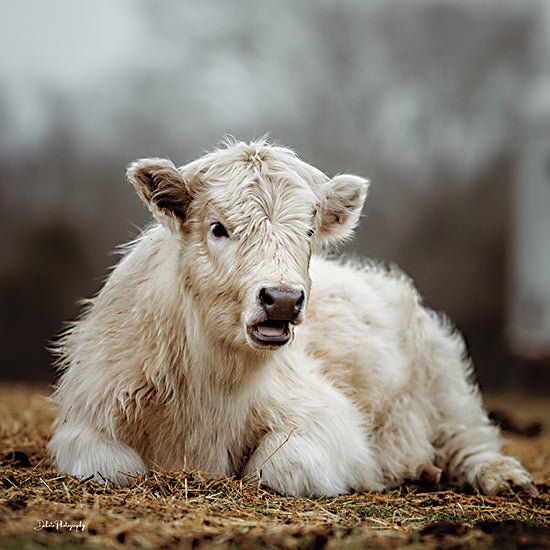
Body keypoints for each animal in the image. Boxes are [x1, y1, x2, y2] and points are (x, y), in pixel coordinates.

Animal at [50, 139, 536, 500]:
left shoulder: (323, 417)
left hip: (447, 382)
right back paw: (421, 469)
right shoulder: (86, 419)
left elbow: (277, 466)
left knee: (471, 441)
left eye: (308, 230)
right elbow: (115, 468)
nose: (282, 300)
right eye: (218, 227)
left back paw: (502, 478)